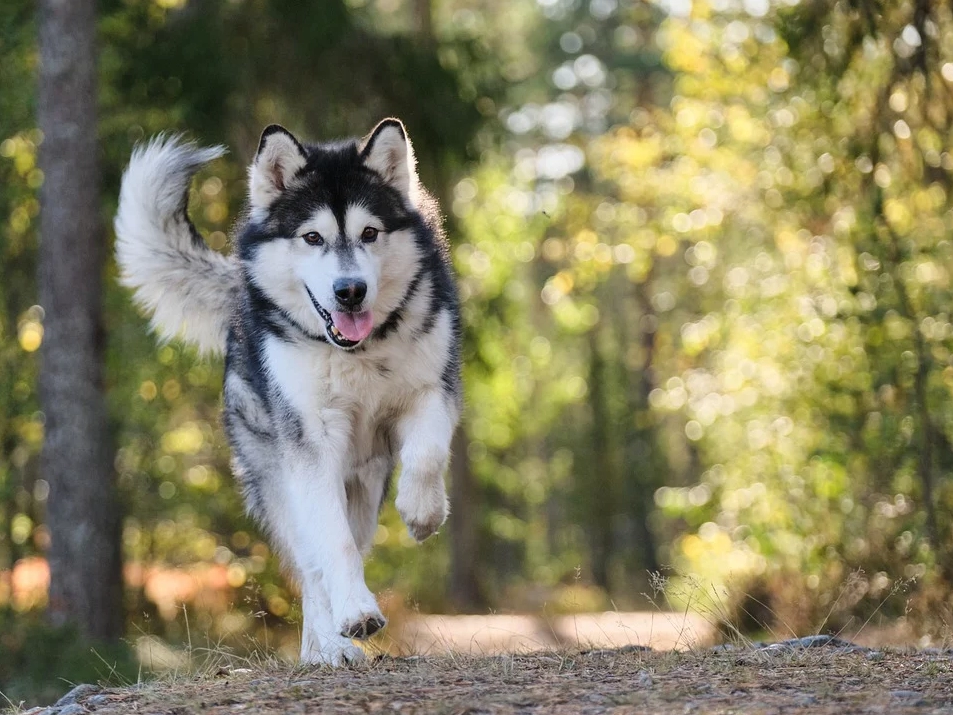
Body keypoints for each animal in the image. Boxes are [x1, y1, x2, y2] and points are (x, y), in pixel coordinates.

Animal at [111, 121, 462, 664]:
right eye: (312, 237)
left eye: (369, 233)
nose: (350, 291)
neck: (357, 353)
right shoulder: (312, 444)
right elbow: (333, 545)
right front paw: (354, 615)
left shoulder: (432, 389)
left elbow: (425, 456)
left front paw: (423, 515)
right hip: (283, 479)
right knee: (314, 566)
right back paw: (330, 647)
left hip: (363, 485)